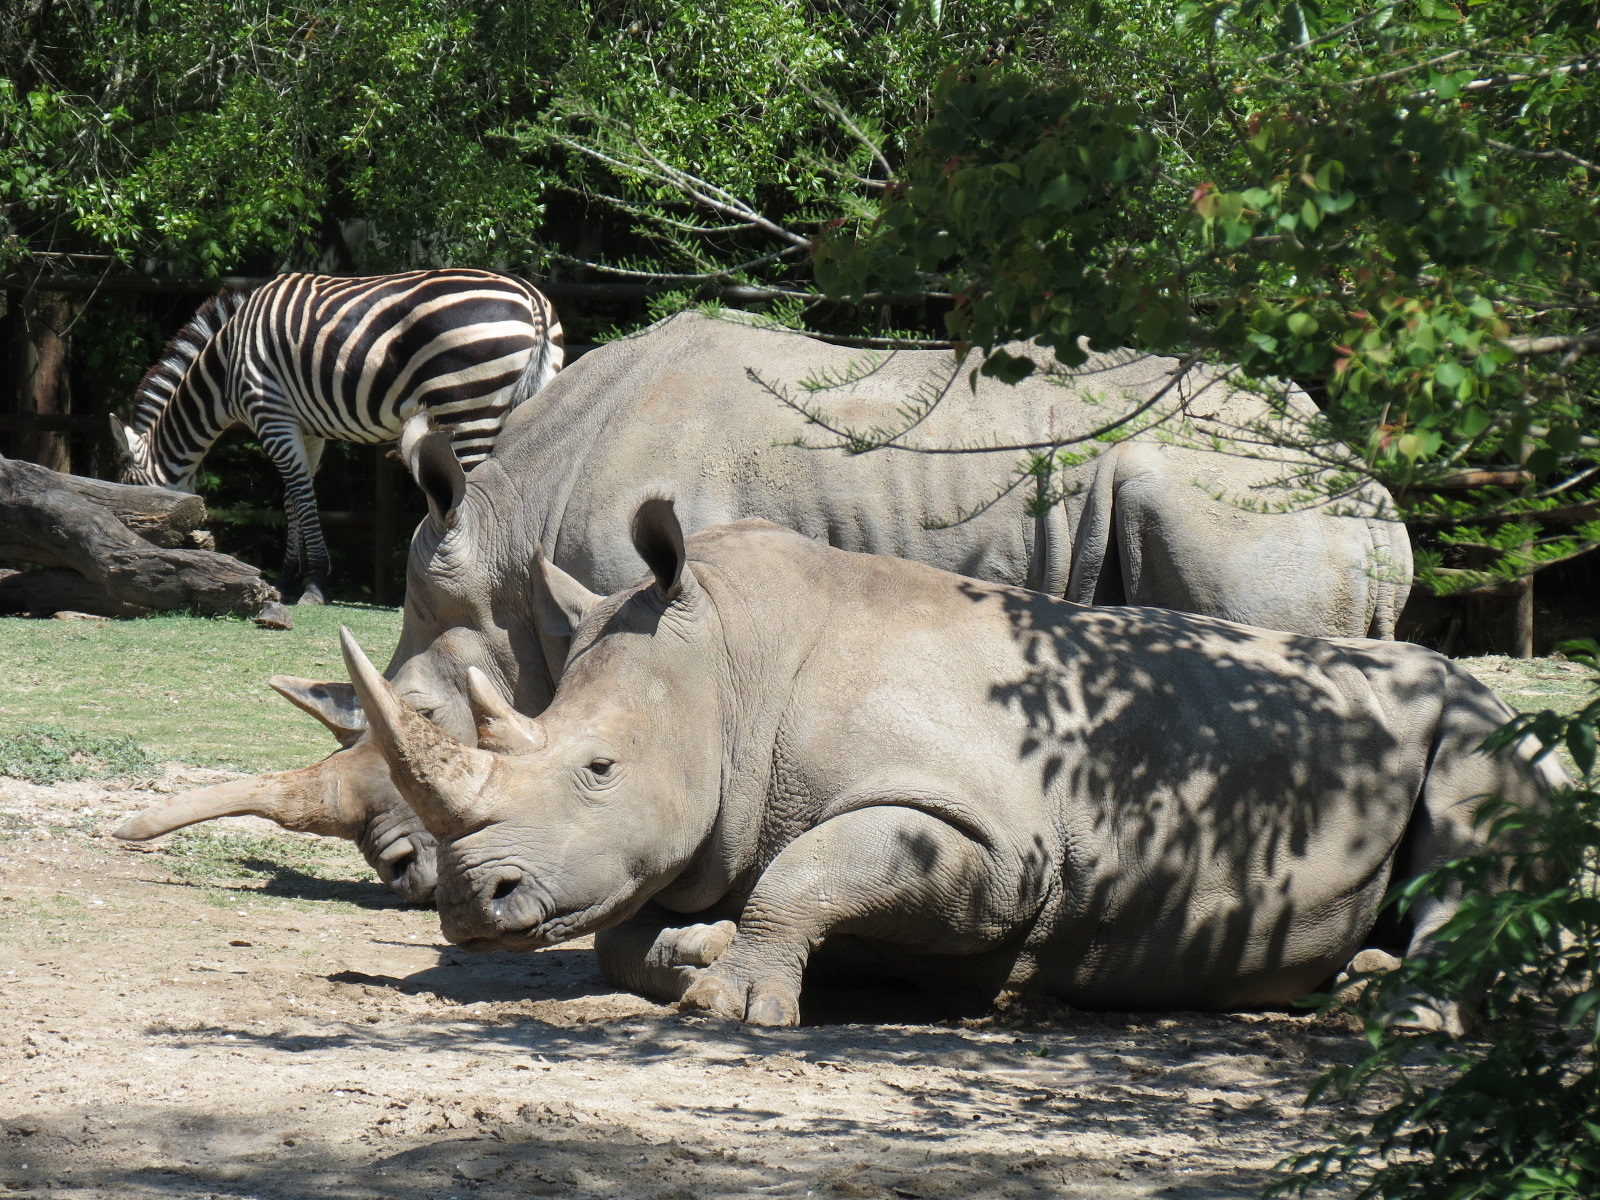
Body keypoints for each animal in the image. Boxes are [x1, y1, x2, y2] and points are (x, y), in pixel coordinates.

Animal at [116, 312, 1412, 903]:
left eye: (430, 714)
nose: (401, 873)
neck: (513, 535)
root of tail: (1369, 490)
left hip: (1229, 507)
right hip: (1271, 506)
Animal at [340, 499, 1560, 1027]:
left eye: (597, 769)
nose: (469, 902)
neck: (732, 671)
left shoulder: (998, 841)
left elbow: (811, 870)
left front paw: (730, 1002)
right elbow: (626, 935)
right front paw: (698, 954)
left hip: (1475, 718)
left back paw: (1404, 1017)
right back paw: (1355, 981)